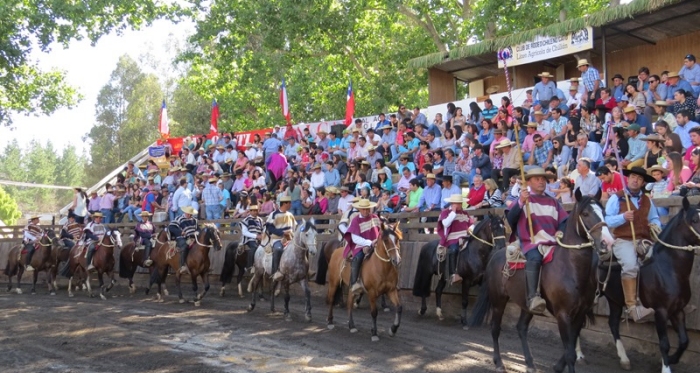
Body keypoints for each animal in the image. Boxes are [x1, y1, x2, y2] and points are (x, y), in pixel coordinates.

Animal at [470, 190, 612, 372]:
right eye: (586, 213)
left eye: (604, 212)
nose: (607, 242)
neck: (570, 267)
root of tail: (496, 254)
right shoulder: (563, 314)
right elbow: (570, 354)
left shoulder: (580, 314)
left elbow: (571, 347)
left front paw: (557, 366)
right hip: (498, 300)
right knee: (495, 328)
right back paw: (499, 363)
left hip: (526, 305)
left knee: (521, 328)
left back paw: (530, 363)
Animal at [596, 196, 700, 370]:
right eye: (694, 220)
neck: (668, 268)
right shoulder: (661, 311)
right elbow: (664, 343)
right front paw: (666, 367)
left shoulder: (678, 310)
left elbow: (684, 341)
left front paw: (672, 359)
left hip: (614, 301)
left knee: (613, 324)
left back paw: (624, 359)